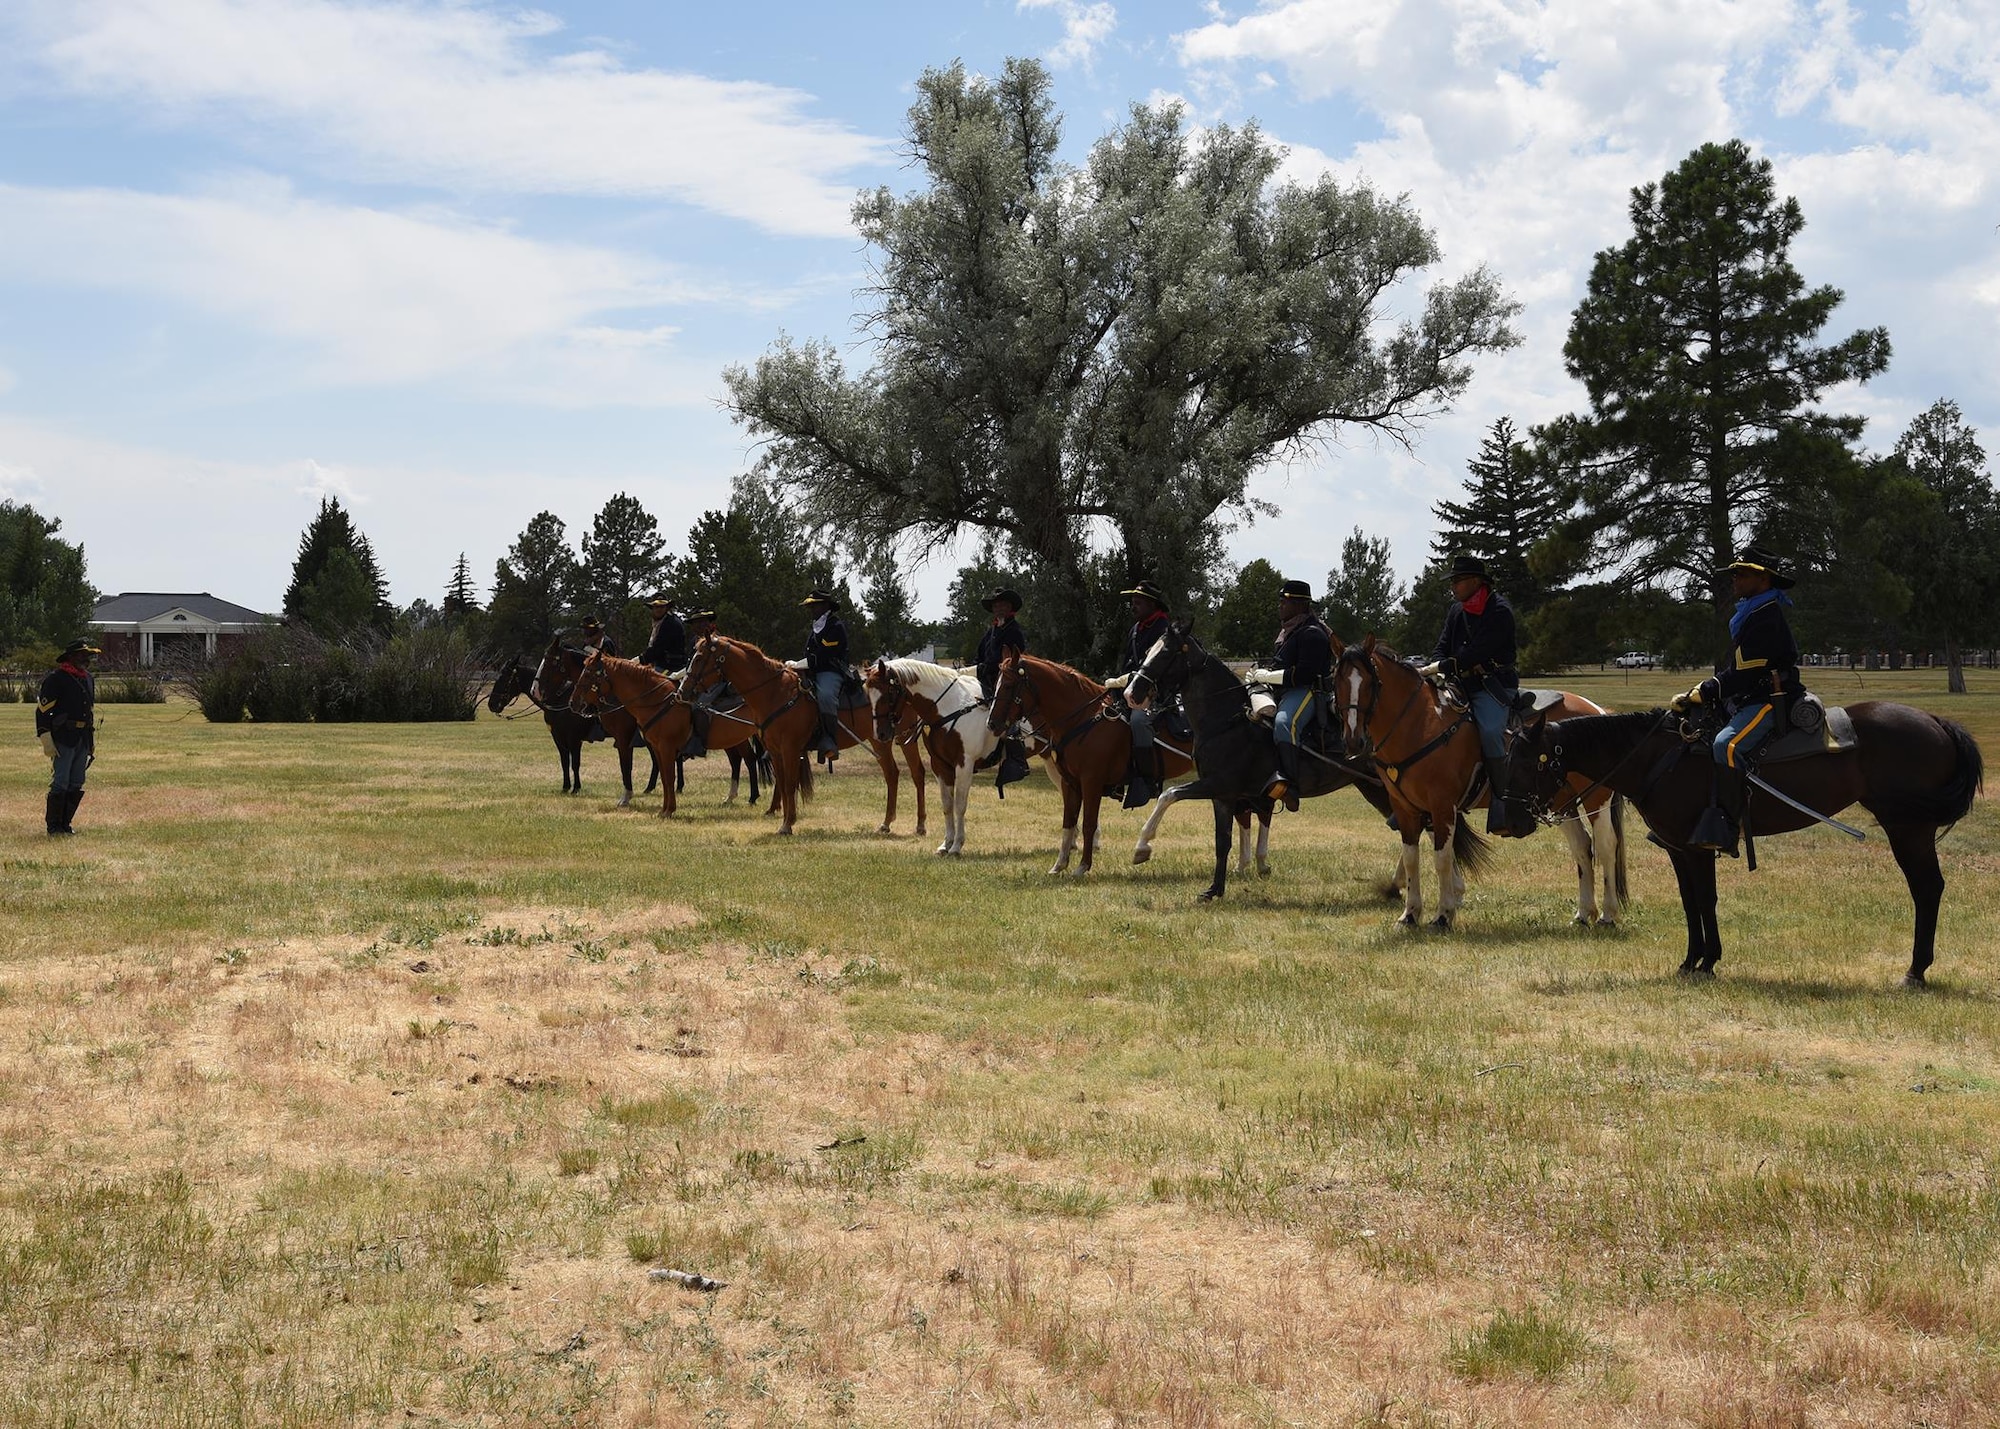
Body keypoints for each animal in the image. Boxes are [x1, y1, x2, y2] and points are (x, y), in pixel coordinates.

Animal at [684, 632, 924, 836]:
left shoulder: (790, 748)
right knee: (892, 774)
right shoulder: (776, 751)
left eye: (699, 658)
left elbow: (790, 783)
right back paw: (886, 824)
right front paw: (784, 820)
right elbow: (782, 783)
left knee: (916, 772)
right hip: (880, 739)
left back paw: (920, 825)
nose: (683, 691)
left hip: (901, 738)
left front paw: (787, 824)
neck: (774, 693)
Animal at [1128, 616, 1456, 896]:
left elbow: (1168, 795)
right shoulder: (1223, 795)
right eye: (1149, 650)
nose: (1133, 693)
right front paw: (1214, 890)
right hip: (1377, 789)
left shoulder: (1217, 785)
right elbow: (1222, 841)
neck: (1226, 721)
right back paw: (1399, 884)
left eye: (1166, 653)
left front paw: (1142, 848)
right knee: (1412, 829)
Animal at [1328, 632, 1624, 924]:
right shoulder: (1404, 808)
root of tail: (1599, 711)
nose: (1353, 740)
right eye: (1336, 681)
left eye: (1369, 682)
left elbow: (1442, 859)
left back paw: (1608, 913)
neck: (1420, 723)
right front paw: (1410, 914)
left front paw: (1444, 915)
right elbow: (1412, 858)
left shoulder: (1442, 806)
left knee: (1606, 846)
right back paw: (1584, 912)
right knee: (1582, 847)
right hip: (1562, 800)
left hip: (1596, 797)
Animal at [1512, 700, 1984, 984]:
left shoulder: (1697, 850)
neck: (1659, 758)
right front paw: (1690, 961)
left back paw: (1915, 970)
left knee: (1927, 889)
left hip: (1908, 828)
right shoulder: (1680, 850)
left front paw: (1707, 962)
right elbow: (1690, 903)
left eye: (1528, 761)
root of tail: (1935, 721)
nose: (1516, 819)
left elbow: (1705, 901)